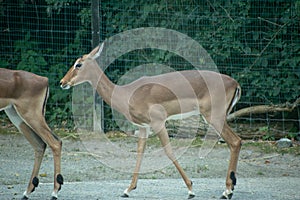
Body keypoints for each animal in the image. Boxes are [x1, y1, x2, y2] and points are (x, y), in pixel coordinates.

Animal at [0, 68, 62, 199]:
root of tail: (44, 79)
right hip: (16, 116)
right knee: (40, 145)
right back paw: (27, 193)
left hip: (30, 115)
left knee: (55, 142)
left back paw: (54, 193)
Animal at [60, 42, 241, 198]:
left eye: (78, 64)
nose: (62, 82)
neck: (126, 93)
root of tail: (235, 83)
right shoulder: (143, 127)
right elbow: (140, 151)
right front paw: (127, 189)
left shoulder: (158, 123)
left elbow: (168, 151)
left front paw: (190, 189)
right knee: (235, 142)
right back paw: (229, 188)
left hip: (214, 118)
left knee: (235, 141)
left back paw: (227, 191)